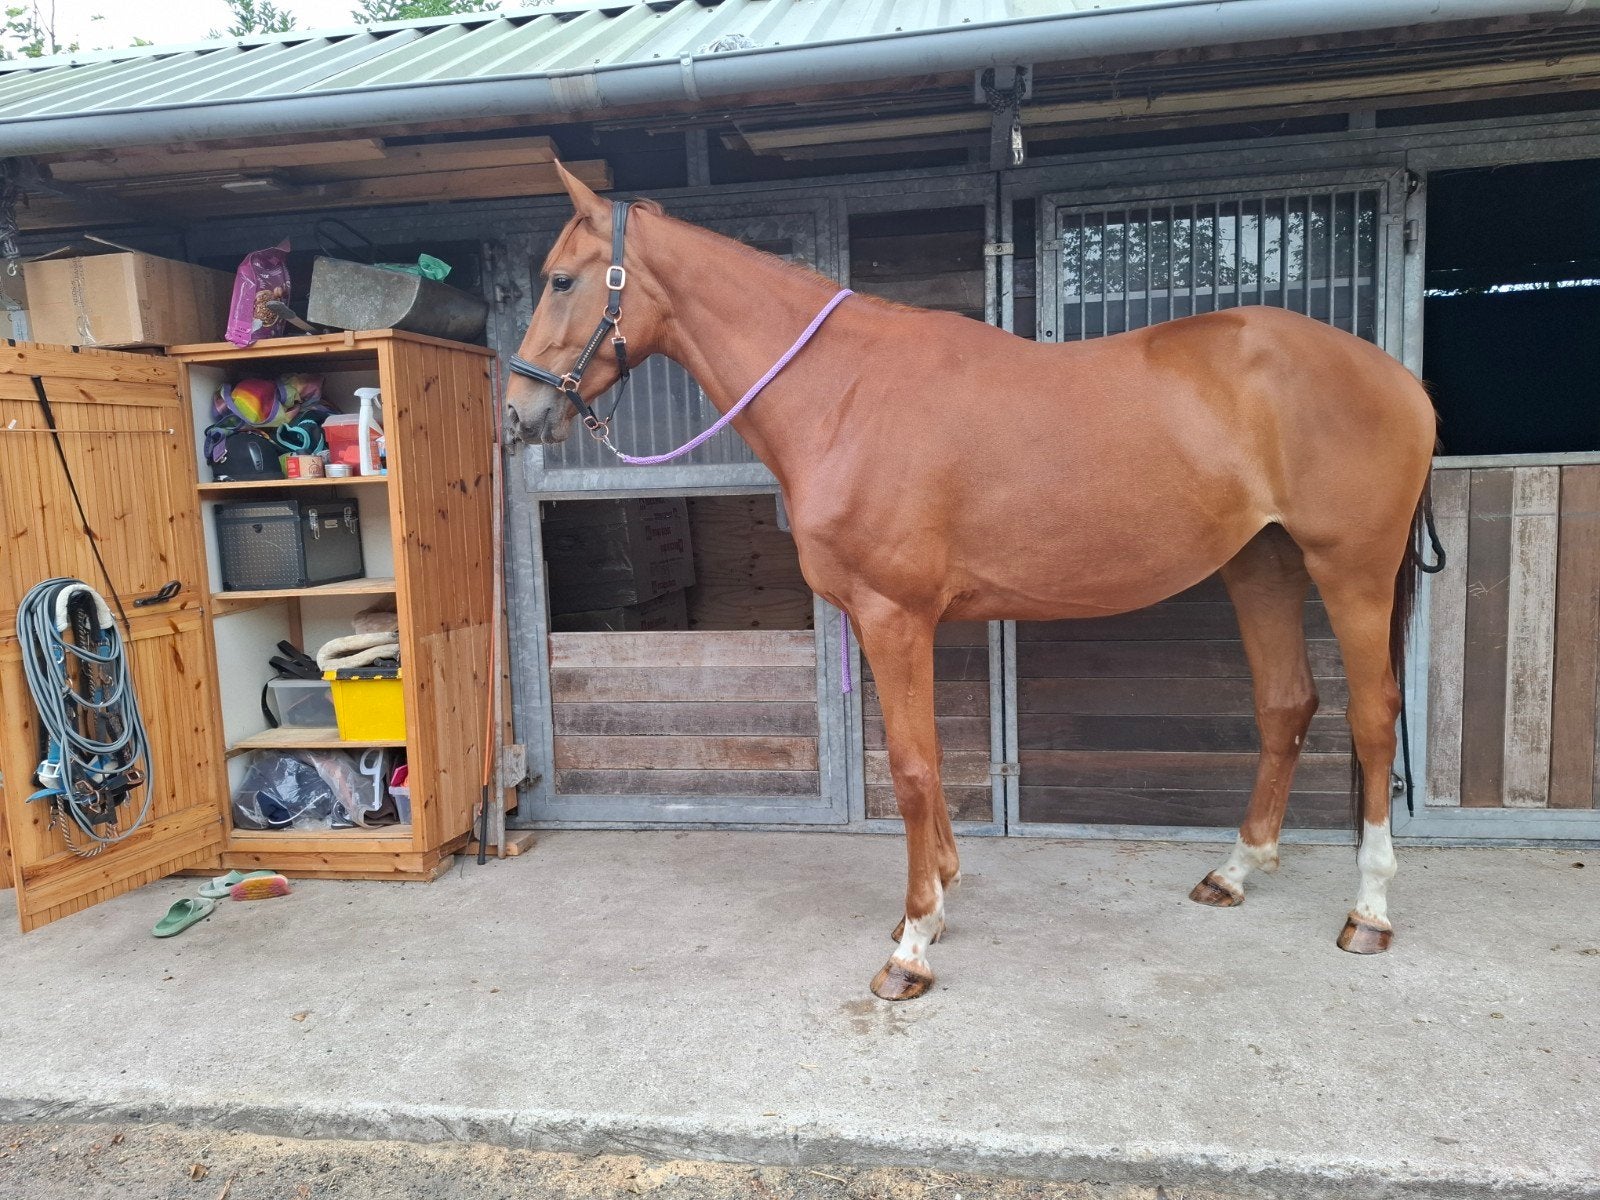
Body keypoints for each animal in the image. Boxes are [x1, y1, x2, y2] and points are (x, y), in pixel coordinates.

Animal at [505, 162, 1439, 1001]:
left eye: (560, 279)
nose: (518, 415)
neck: (845, 393)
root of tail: (1402, 380)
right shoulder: (889, 619)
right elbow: (922, 754)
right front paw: (935, 900)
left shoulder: (894, 615)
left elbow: (914, 766)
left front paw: (914, 944)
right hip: (1262, 564)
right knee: (1286, 705)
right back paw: (1234, 872)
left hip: (1350, 568)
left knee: (1372, 717)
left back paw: (1369, 912)